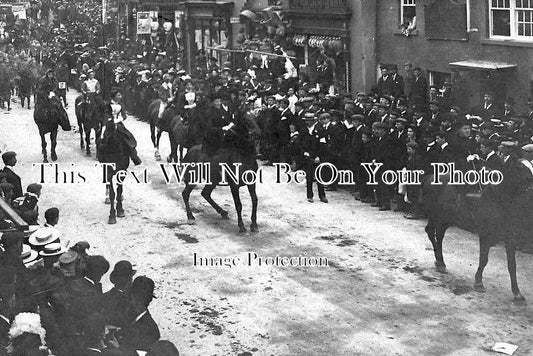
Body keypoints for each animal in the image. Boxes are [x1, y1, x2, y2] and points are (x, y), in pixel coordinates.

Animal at [420, 161, 532, 304]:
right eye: (522, 171)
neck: (499, 200)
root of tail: (429, 178)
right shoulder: (485, 235)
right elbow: (484, 259)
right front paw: (478, 283)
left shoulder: (510, 238)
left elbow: (512, 265)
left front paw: (517, 293)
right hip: (436, 217)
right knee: (430, 232)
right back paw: (440, 261)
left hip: (445, 220)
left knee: (439, 236)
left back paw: (440, 262)